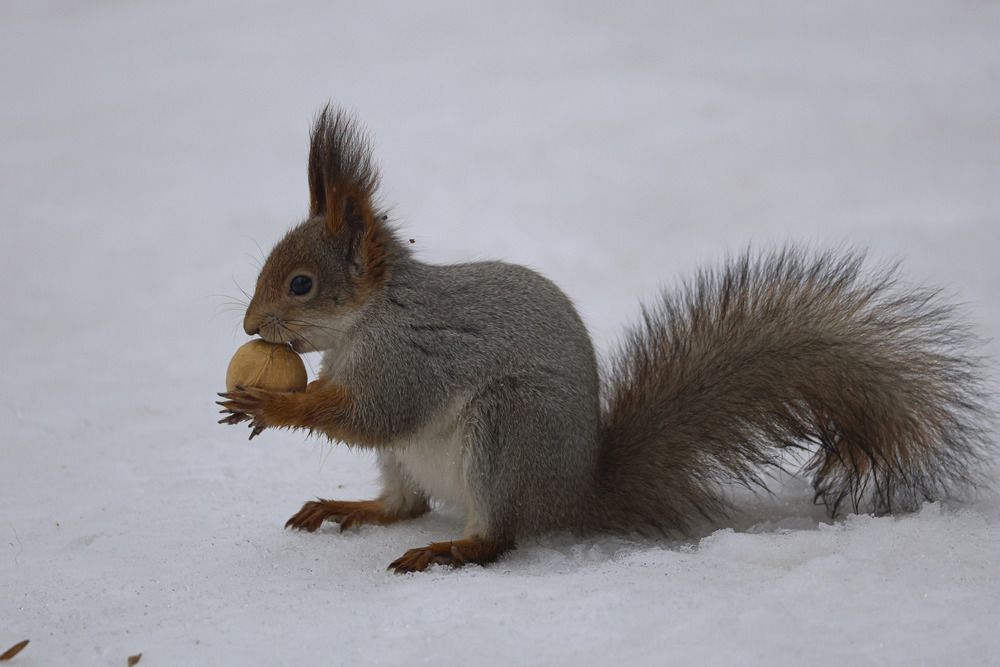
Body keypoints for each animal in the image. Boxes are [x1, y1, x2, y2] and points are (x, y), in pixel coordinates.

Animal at [218, 105, 992, 573]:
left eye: (300, 285)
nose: (250, 327)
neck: (371, 318)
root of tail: (574, 495)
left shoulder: (411, 358)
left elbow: (373, 413)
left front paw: (271, 405)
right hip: (418, 461)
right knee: (402, 505)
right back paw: (349, 508)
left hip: (507, 431)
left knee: (497, 538)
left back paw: (447, 550)